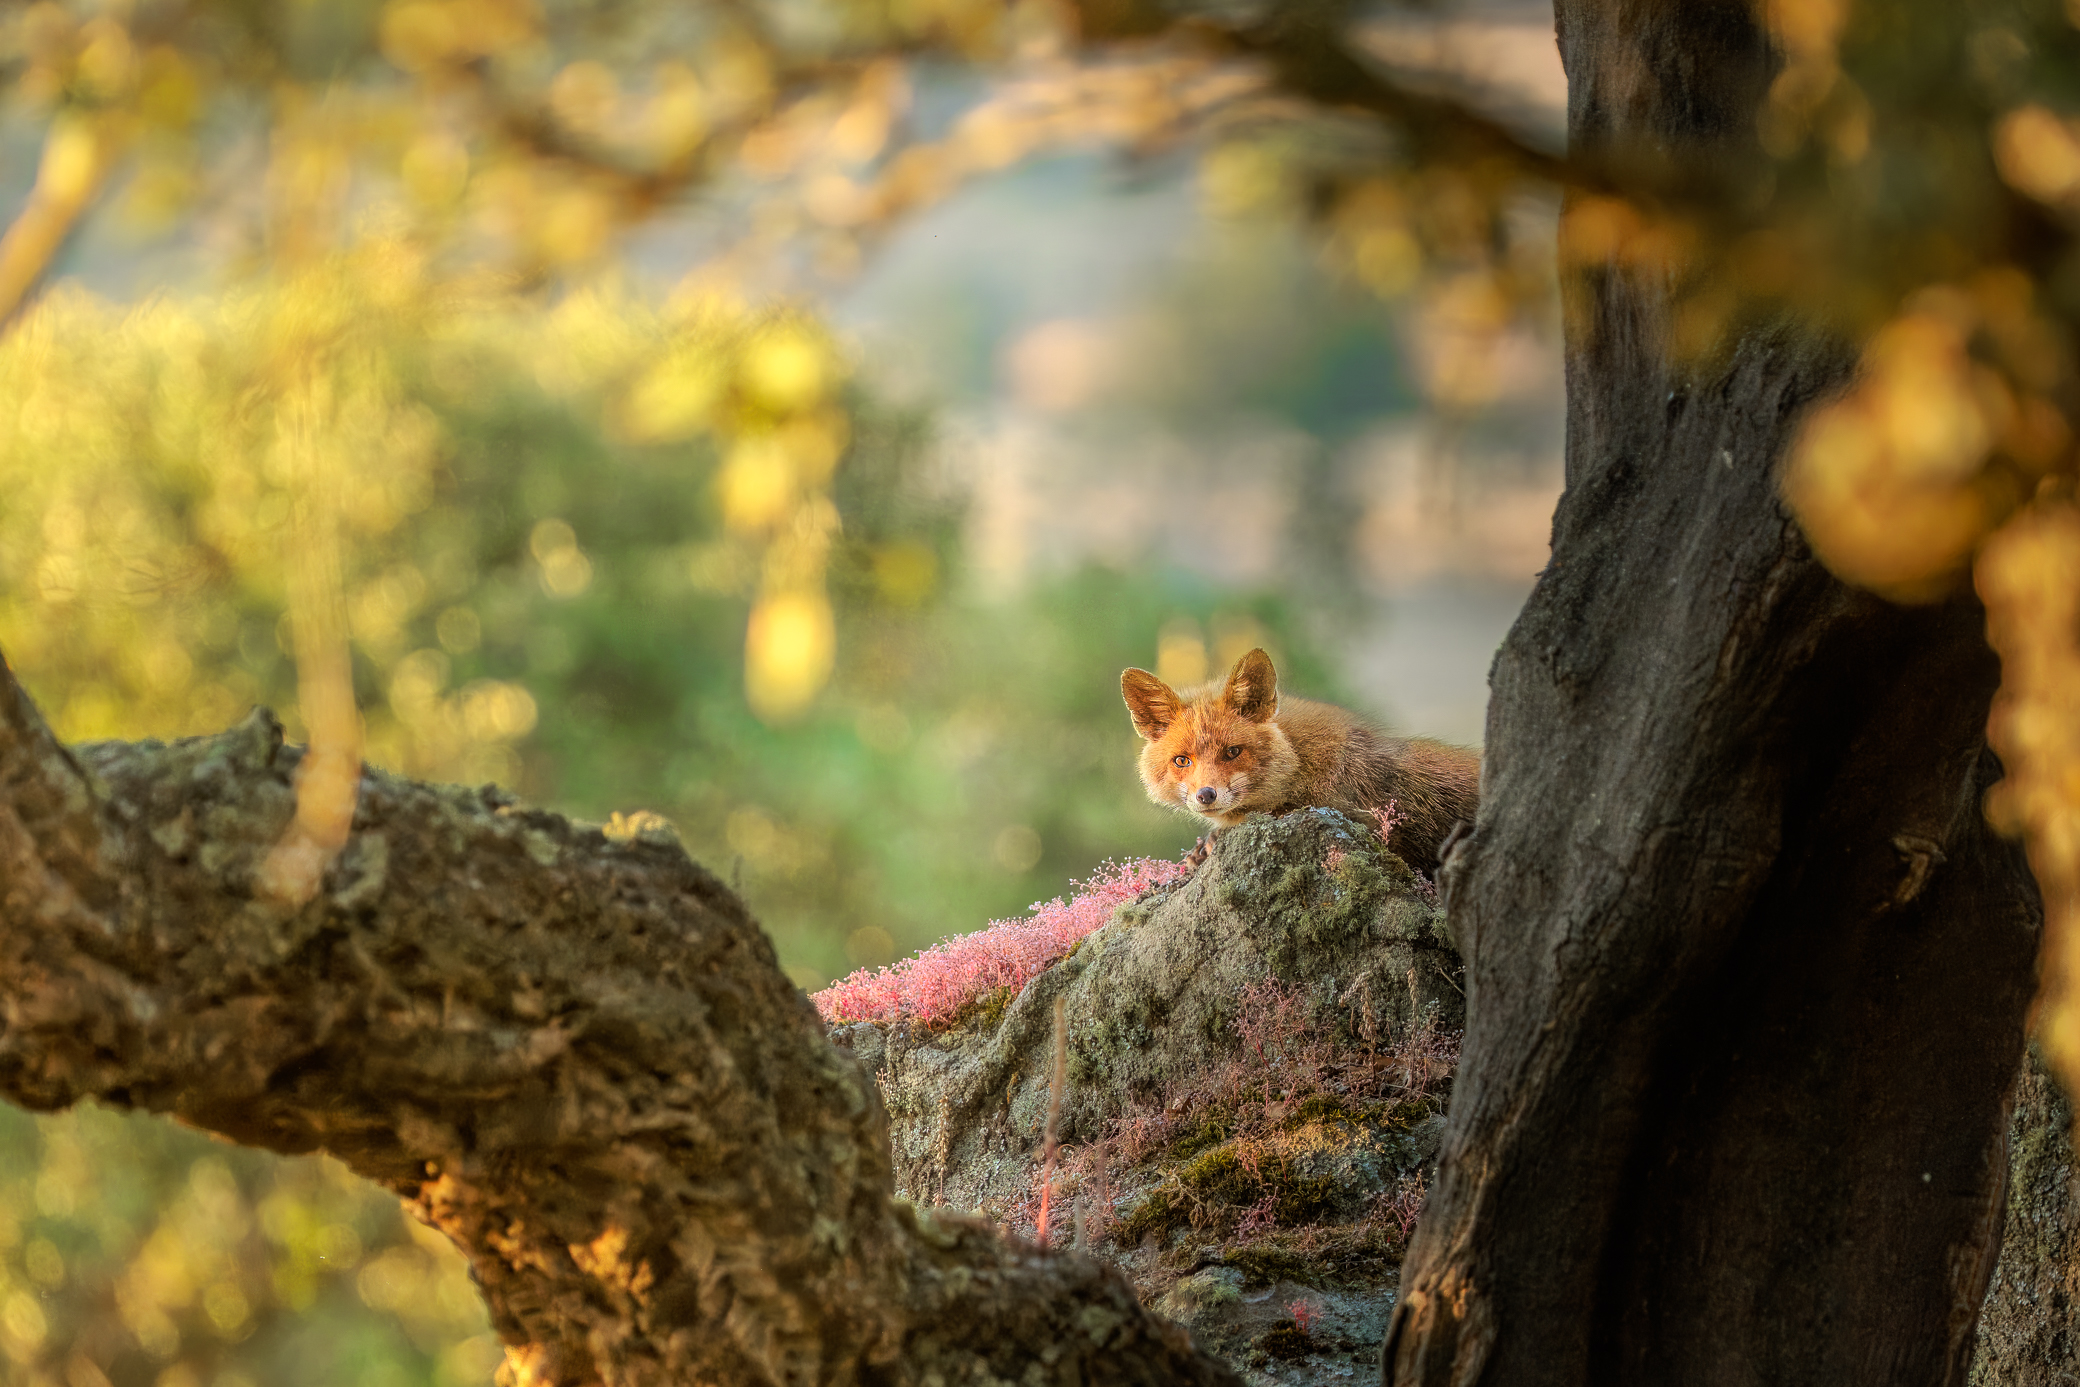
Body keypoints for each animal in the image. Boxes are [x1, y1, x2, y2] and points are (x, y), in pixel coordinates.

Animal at [1120, 647, 1479, 875]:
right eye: (1182, 761)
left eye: (1232, 752)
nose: (1206, 795)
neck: (1299, 762)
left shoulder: (1358, 817)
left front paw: (1213, 841)